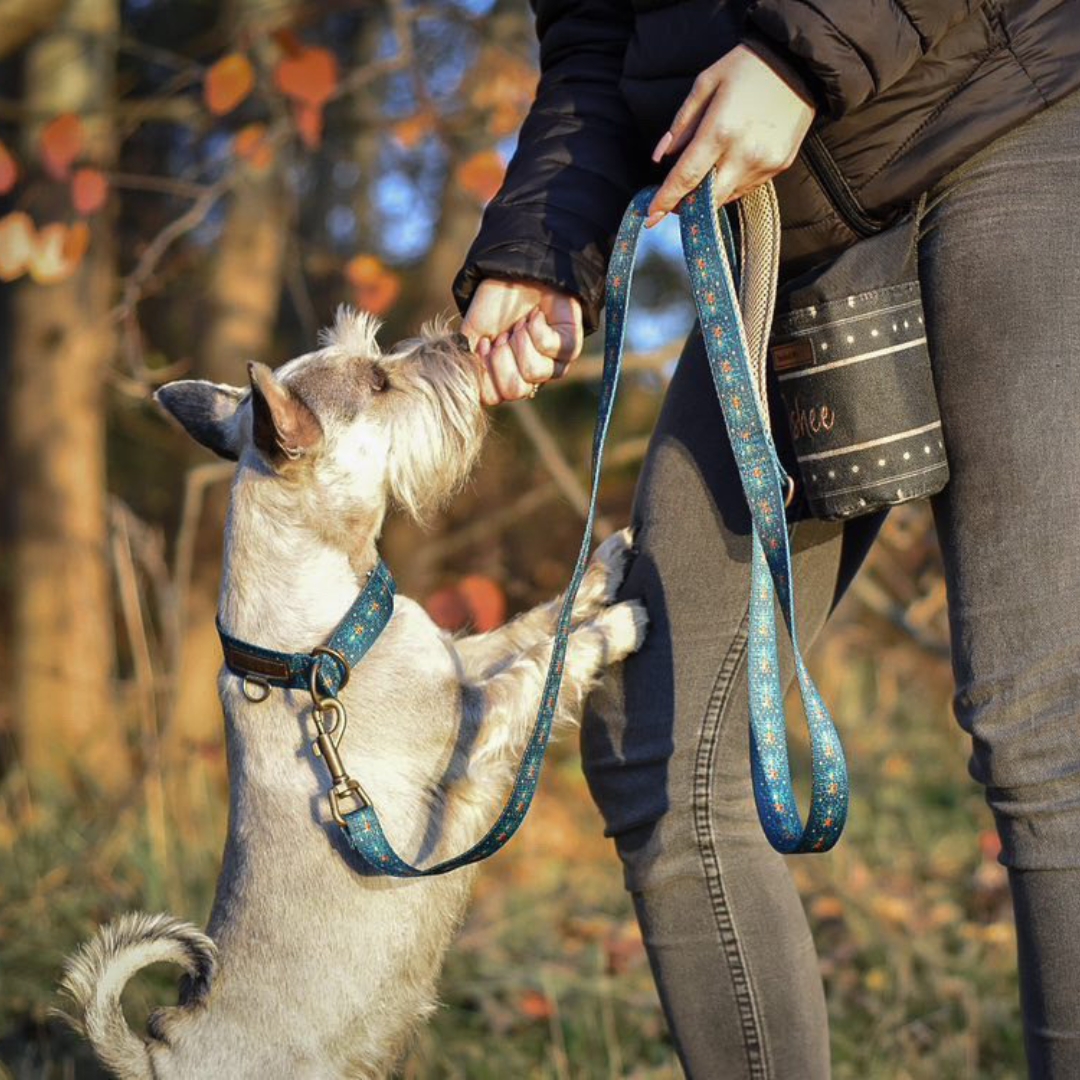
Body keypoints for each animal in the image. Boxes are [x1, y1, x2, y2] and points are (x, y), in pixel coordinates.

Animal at [56, 306, 648, 1080]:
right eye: (377, 381)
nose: (460, 338)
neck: (325, 627)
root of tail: (158, 1054)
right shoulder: (476, 720)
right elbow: (545, 664)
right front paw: (619, 623)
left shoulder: (463, 658)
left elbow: (536, 622)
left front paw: (605, 564)